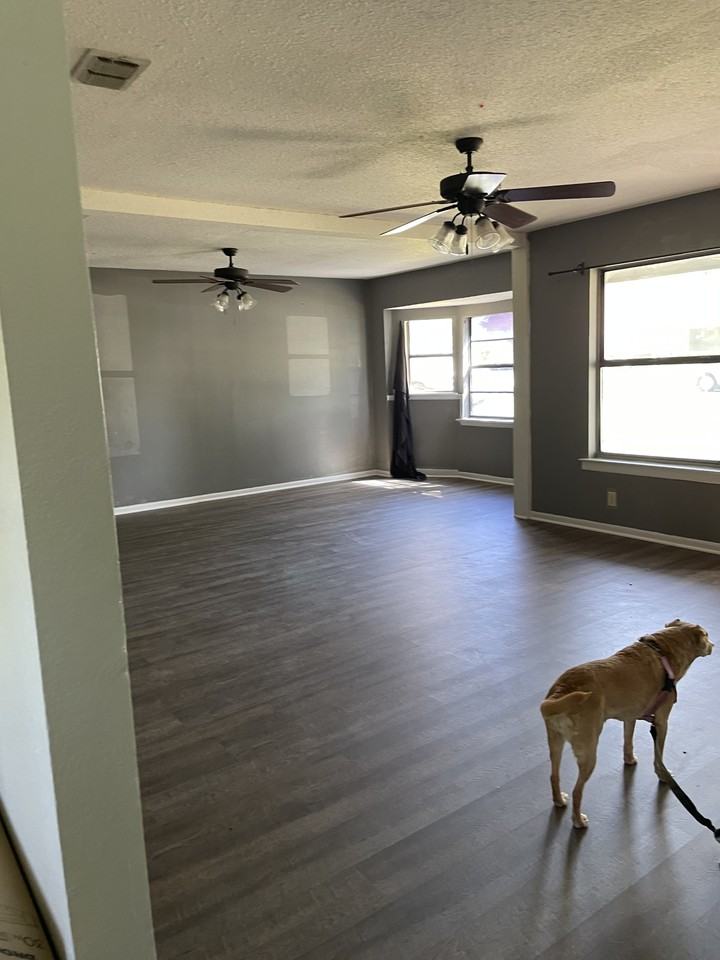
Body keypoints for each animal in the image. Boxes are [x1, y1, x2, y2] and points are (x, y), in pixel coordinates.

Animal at [541, 620, 713, 829]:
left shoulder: (630, 717)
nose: (714, 645)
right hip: (588, 752)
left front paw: (629, 760)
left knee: (554, 776)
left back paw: (559, 801)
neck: (662, 651)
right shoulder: (662, 721)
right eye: (707, 636)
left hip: (555, 742)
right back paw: (578, 821)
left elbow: (628, 741)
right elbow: (659, 754)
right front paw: (663, 775)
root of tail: (562, 690)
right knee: (577, 791)